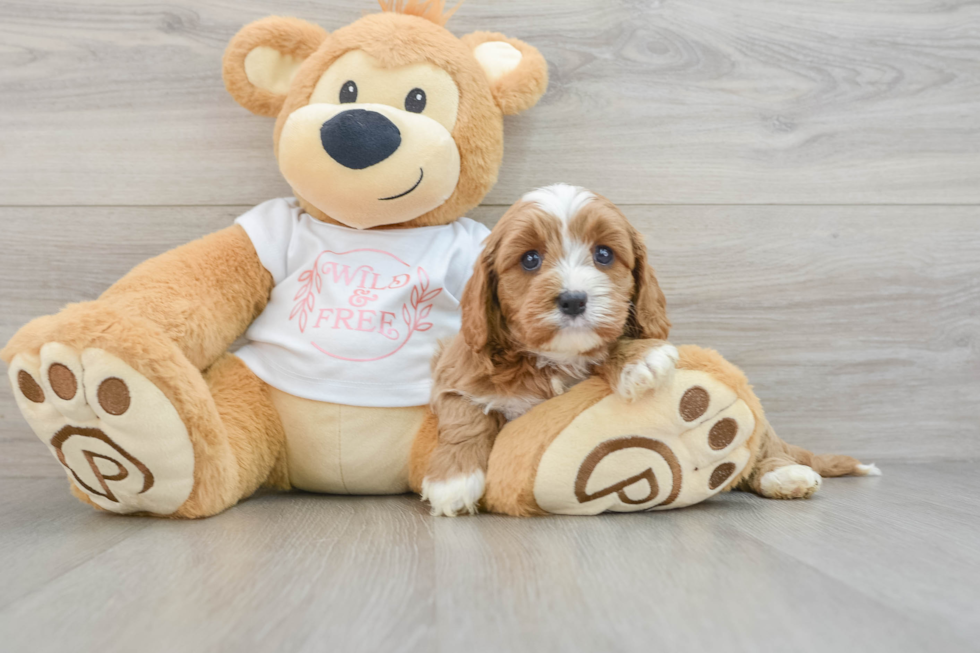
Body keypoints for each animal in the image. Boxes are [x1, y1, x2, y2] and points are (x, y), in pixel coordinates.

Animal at [424, 183, 676, 516]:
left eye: (604, 254)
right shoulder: (454, 374)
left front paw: (640, 359)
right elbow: (464, 418)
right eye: (530, 259)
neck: (553, 358)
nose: (573, 300)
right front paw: (453, 482)